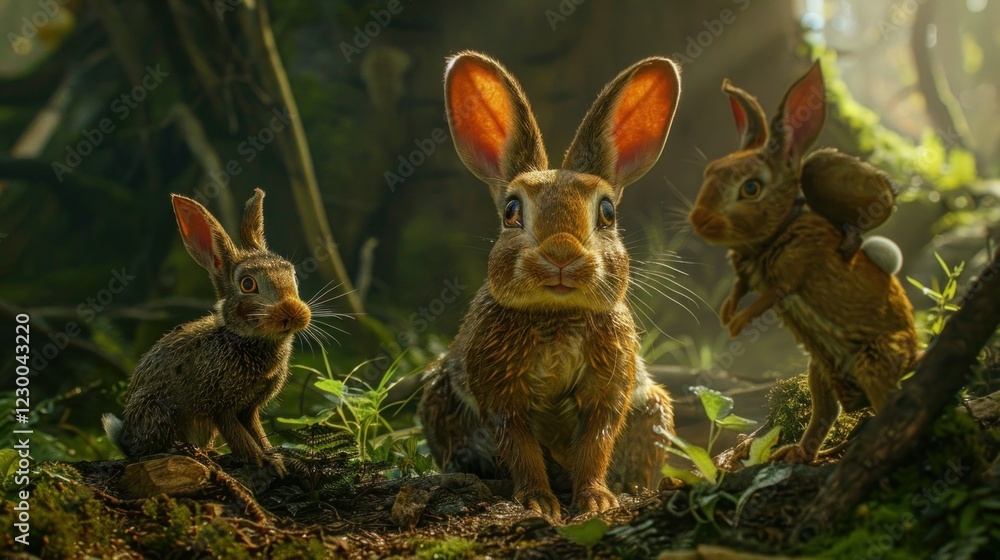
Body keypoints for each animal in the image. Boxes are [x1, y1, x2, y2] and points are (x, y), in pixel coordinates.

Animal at [103, 188, 310, 475]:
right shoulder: (220, 406)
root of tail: (125, 438)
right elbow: (241, 439)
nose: (293, 312)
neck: (242, 339)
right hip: (158, 411)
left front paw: (276, 458)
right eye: (248, 284)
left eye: (293, 276)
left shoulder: (249, 409)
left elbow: (257, 432)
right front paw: (265, 462)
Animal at [417, 51, 680, 519]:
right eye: (511, 211)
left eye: (608, 212)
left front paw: (595, 499)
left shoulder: (608, 388)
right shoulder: (499, 391)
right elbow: (519, 445)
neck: (558, 315)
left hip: (655, 408)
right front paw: (538, 501)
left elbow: (596, 442)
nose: (561, 255)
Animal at [687, 61, 920, 464]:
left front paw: (736, 325)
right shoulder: (749, 276)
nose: (700, 221)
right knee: (826, 412)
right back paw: (796, 453)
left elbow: (770, 295)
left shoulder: (793, 273)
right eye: (710, 171)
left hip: (872, 360)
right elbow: (740, 288)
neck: (774, 233)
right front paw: (727, 315)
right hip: (819, 370)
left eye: (751, 188)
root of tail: (916, 351)